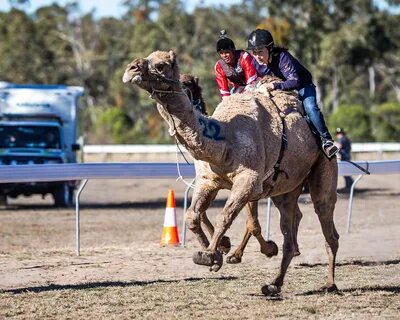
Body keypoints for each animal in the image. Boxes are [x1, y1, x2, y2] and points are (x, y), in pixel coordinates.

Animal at [122, 50, 340, 296]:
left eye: (160, 65)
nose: (131, 69)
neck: (225, 139)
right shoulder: (208, 181)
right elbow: (192, 216)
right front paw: (216, 255)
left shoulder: (249, 181)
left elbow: (225, 217)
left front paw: (212, 254)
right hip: (285, 191)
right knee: (289, 234)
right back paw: (273, 284)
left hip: (323, 167)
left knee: (327, 222)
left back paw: (329, 283)